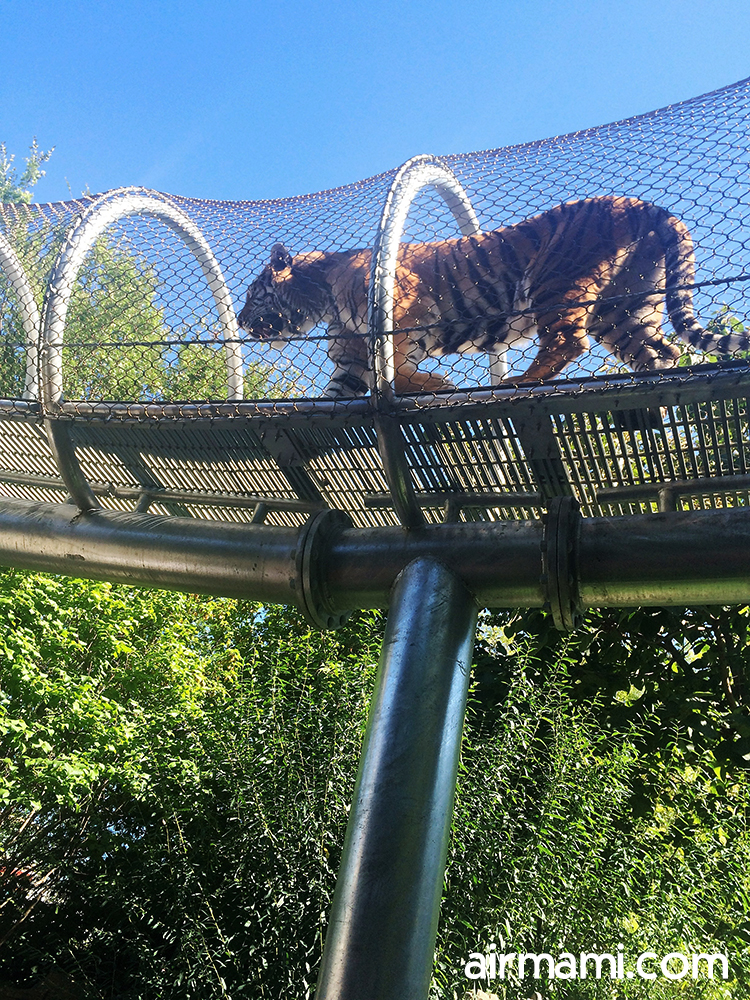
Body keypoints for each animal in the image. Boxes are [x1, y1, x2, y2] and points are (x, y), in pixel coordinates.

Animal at [237, 196, 748, 397]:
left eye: (252, 295)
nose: (239, 320)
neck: (320, 294)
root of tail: (639, 204)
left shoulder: (404, 313)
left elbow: (395, 371)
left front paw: (438, 384)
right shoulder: (350, 356)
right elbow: (345, 390)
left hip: (557, 281)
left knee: (568, 340)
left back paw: (518, 381)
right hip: (624, 307)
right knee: (662, 352)